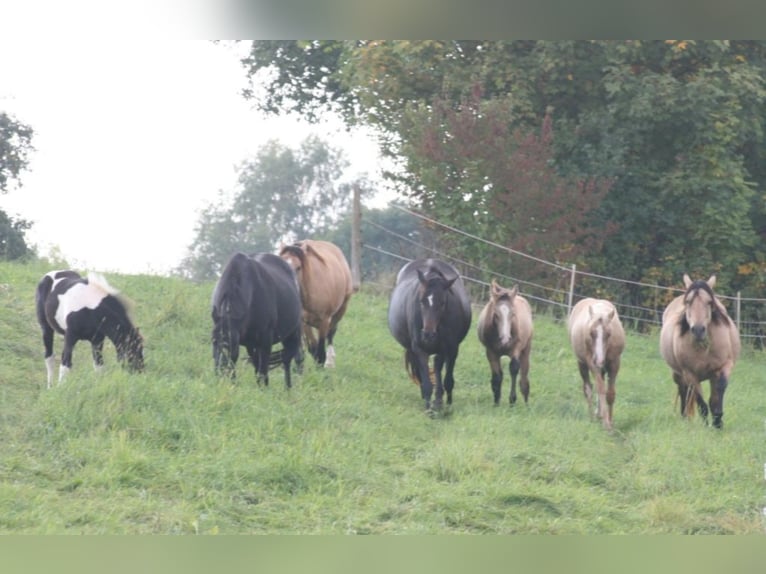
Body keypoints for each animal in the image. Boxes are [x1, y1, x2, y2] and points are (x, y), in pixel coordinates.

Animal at [213, 251, 306, 388]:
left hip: (292, 333)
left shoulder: (265, 340)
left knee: (288, 359)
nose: (222, 372)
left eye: (232, 345)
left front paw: (264, 390)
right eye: (214, 342)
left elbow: (263, 370)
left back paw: (288, 388)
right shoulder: (250, 343)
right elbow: (258, 368)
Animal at [280, 240, 356, 368]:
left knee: (330, 334)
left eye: (298, 267)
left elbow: (321, 345)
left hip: (340, 311)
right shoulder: (302, 321)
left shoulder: (325, 320)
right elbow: (311, 345)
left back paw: (330, 362)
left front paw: (322, 362)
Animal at [390, 260, 474, 414]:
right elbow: (427, 382)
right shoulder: (419, 349)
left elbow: (445, 377)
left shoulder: (448, 349)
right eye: (421, 301)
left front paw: (443, 403)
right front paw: (429, 407)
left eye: (442, 303)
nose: (428, 334)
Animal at [568, 300, 628, 430]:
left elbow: (610, 394)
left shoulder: (615, 364)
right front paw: (606, 424)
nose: (599, 360)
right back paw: (592, 417)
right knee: (588, 389)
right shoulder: (592, 364)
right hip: (582, 364)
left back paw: (598, 414)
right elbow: (600, 389)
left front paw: (610, 421)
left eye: (609, 334)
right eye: (591, 333)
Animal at [664, 276, 740, 432]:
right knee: (683, 392)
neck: (704, 348)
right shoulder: (690, 374)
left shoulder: (724, 367)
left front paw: (718, 422)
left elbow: (717, 395)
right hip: (677, 374)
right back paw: (684, 418)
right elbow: (701, 404)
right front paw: (706, 426)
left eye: (709, 302)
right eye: (688, 302)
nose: (698, 330)